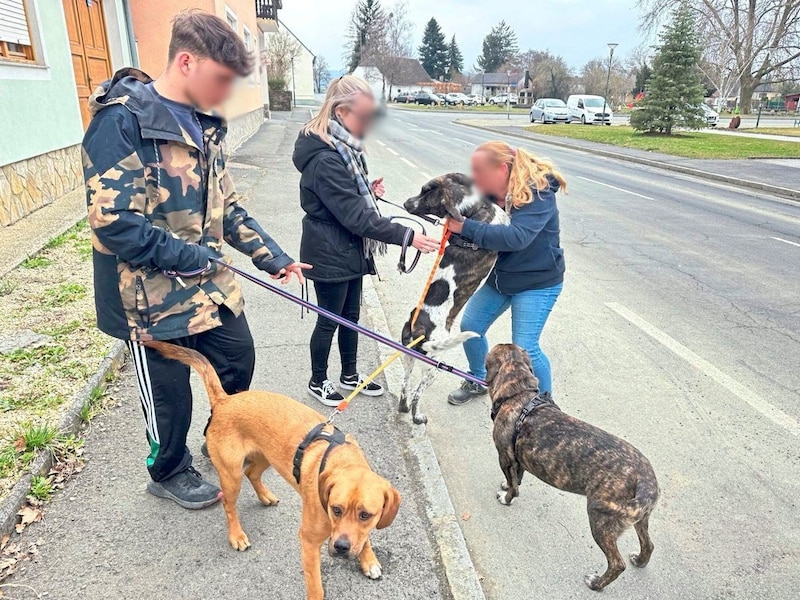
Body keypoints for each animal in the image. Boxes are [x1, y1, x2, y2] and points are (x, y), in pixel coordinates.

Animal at [145, 342, 404, 600]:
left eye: (365, 515)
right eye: (336, 509)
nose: (341, 548)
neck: (341, 459)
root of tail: (224, 400)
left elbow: (365, 538)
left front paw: (368, 559)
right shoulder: (309, 542)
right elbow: (315, 585)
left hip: (266, 457)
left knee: (252, 473)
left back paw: (265, 496)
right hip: (231, 475)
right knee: (229, 504)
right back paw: (236, 535)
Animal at [398, 173, 506, 424]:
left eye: (426, 196)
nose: (407, 203)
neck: (473, 209)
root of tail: (417, 331)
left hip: (408, 358)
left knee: (404, 386)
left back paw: (404, 408)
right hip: (434, 367)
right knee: (416, 393)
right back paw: (418, 417)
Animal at [484, 342, 660, 592]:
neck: (519, 395)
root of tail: (645, 477)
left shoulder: (504, 457)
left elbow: (513, 486)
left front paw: (507, 498)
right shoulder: (518, 459)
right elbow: (516, 478)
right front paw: (508, 486)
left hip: (601, 521)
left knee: (617, 564)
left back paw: (596, 583)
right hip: (640, 518)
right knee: (648, 544)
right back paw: (641, 560)